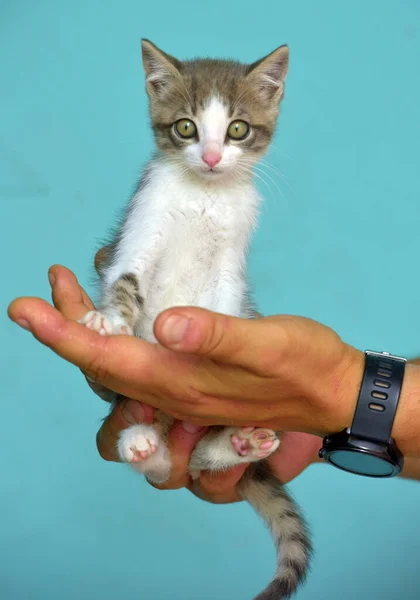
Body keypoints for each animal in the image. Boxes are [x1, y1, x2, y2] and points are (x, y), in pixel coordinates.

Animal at [81, 39, 312, 596]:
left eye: (237, 129)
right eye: (186, 127)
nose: (209, 158)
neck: (204, 196)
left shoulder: (230, 265)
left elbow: (225, 304)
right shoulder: (141, 227)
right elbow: (126, 276)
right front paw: (110, 321)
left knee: (200, 458)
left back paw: (239, 442)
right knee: (165, 461)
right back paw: (142, 441)